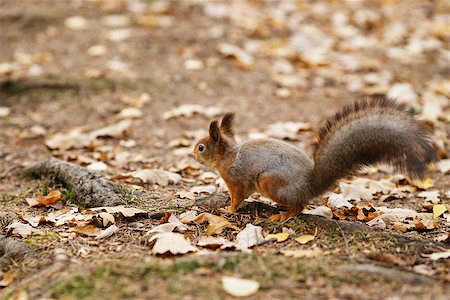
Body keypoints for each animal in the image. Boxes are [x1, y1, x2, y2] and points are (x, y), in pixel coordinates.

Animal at [191, 97, 436, 221]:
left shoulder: (236, 180)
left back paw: (283, 215)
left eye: (201, 147)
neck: (228, 156)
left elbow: (237, 198)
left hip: (270, 181)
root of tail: (311, 186)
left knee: (300, 207)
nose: (191, 154)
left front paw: (228, 210)